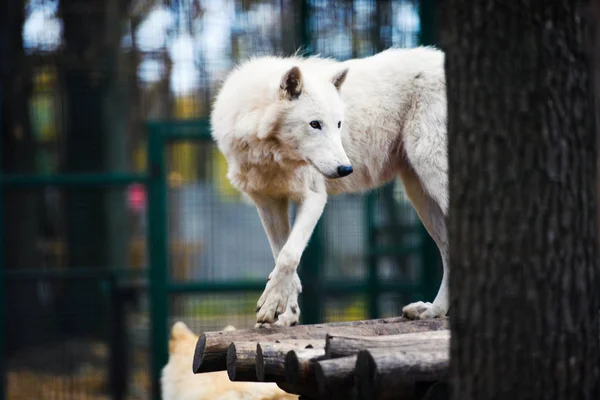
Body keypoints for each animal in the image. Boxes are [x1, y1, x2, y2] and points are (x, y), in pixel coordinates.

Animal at [213, 47, 448, 328]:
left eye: (339, 124)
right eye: (315, 124)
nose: (346, 169)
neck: (273, 154)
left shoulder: (314, 197)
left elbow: (289, 255)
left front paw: (271, 304)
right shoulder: (268, 202)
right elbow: (282, 254)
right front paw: (287, 312)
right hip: (420, 195)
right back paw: (433, 310)